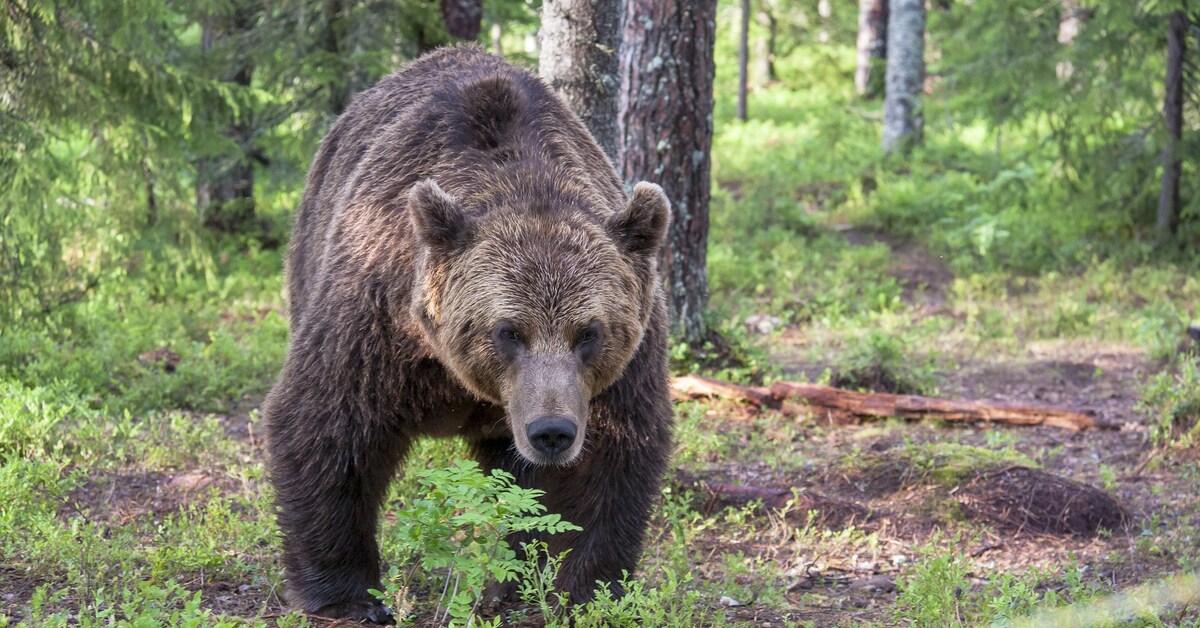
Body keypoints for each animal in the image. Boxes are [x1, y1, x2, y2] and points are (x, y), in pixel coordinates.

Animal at [262, 45, 676, 624]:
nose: (551, 431)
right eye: (508, 330)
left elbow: (608, 459)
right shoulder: (376, 316)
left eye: (588, 332)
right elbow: (328, 423)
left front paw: (581, 589)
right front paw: (347, 595)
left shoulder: (620, 366)